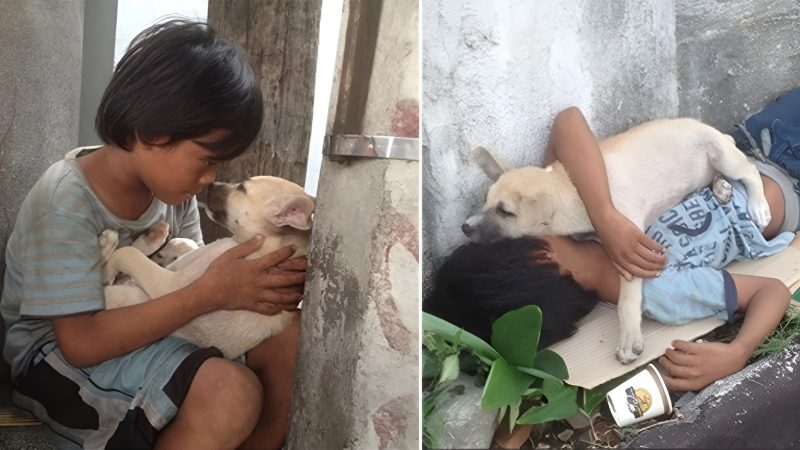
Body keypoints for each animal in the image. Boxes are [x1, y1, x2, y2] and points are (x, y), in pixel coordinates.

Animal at [98, 175, 314, 358]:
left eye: (242, 188)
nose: (209, 184)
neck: (263, 249)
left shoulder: (169, 286)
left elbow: (127, 254)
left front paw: (108, 267)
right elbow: (187, 243)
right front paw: (167, 249)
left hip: (127, 297)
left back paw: (108, 248)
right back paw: (152, 238)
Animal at [466, 118, 772, 364]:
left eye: (506, 212)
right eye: (486, 201)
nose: (464, 227)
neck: (574, 192)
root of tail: (717, 132)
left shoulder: (629, 243)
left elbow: (627, 299)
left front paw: (628, 340)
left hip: (722, 154)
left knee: (750, 171)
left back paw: (757, 205)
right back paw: (720, 188)